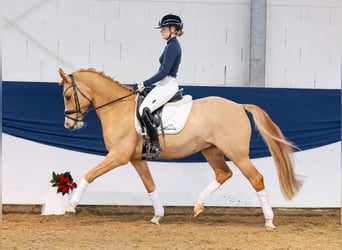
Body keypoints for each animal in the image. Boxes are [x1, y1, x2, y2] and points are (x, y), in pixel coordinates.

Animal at [58, 68, 302, 229]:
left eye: (68, 96)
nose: (69, 125)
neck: (118, 108)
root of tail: (239, 106)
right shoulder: (137, 159)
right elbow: (150, 185)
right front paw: (157, 216)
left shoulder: (118, 156)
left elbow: (90, 175)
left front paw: (70, 207)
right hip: (211, 150)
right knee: (223, 173)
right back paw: (198, 206)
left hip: (237, 154)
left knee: (256, 179)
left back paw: (269, 221)